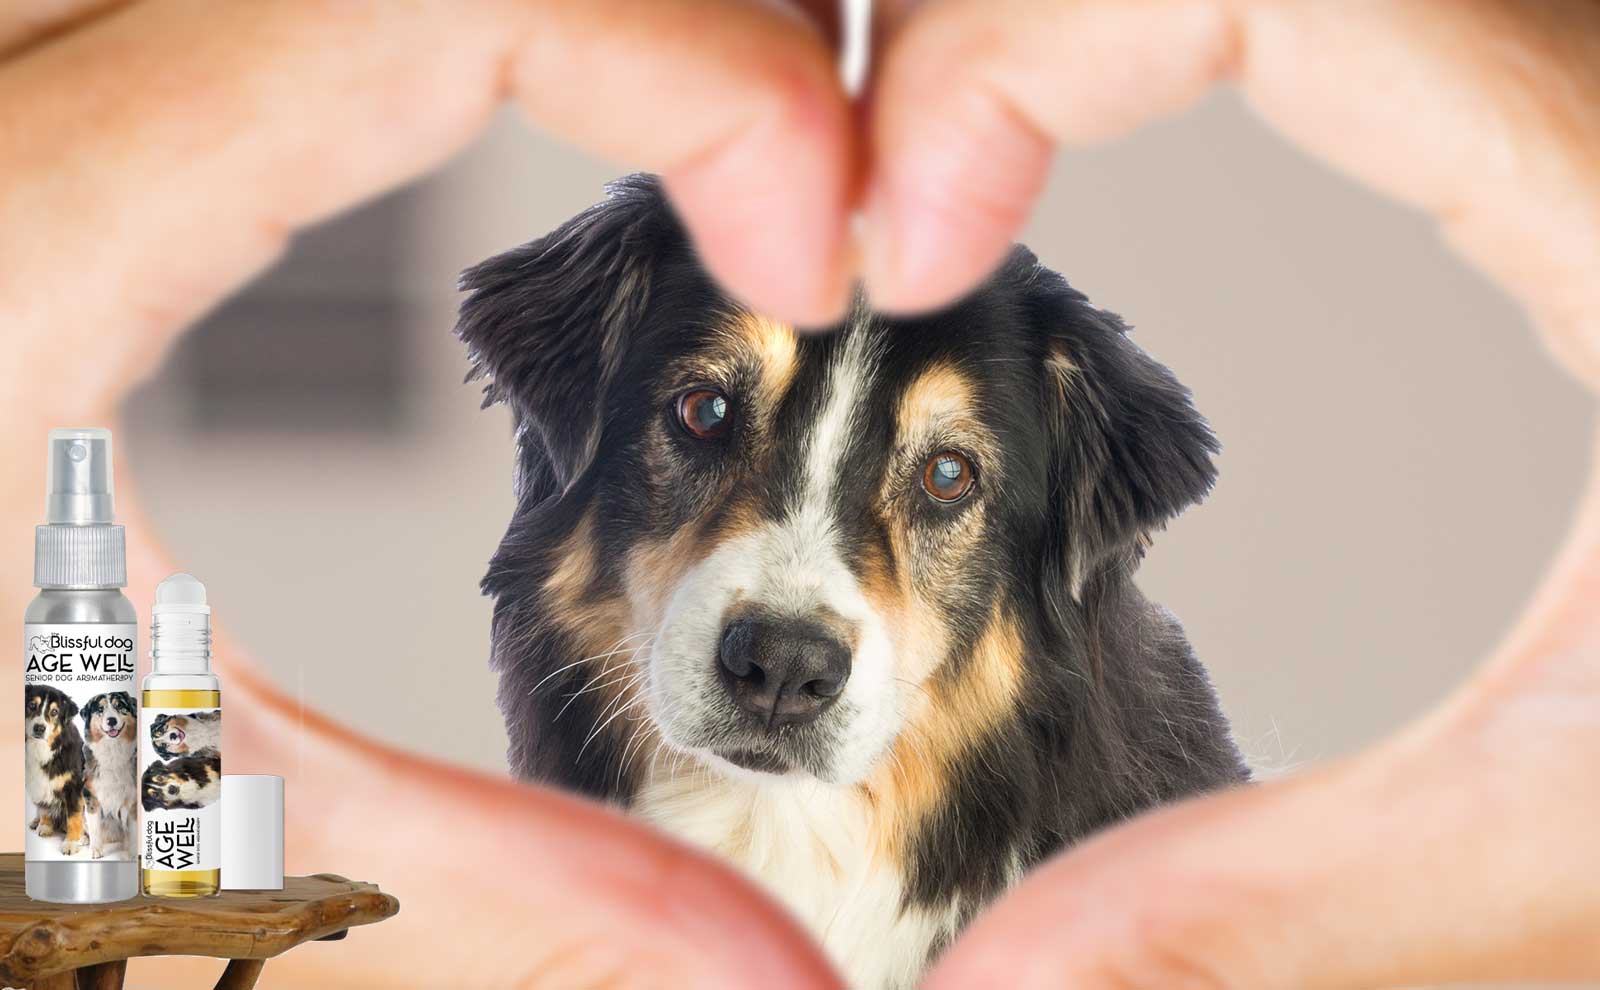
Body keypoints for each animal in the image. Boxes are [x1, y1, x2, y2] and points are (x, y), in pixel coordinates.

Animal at [24, 684, 88, 857]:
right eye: (32, 705)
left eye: (54, 712)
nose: (39, 728)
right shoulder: (40, 784)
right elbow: (45, 808)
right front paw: (45, 826)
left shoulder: (74, 787)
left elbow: (74, 818)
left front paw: (71, 843)